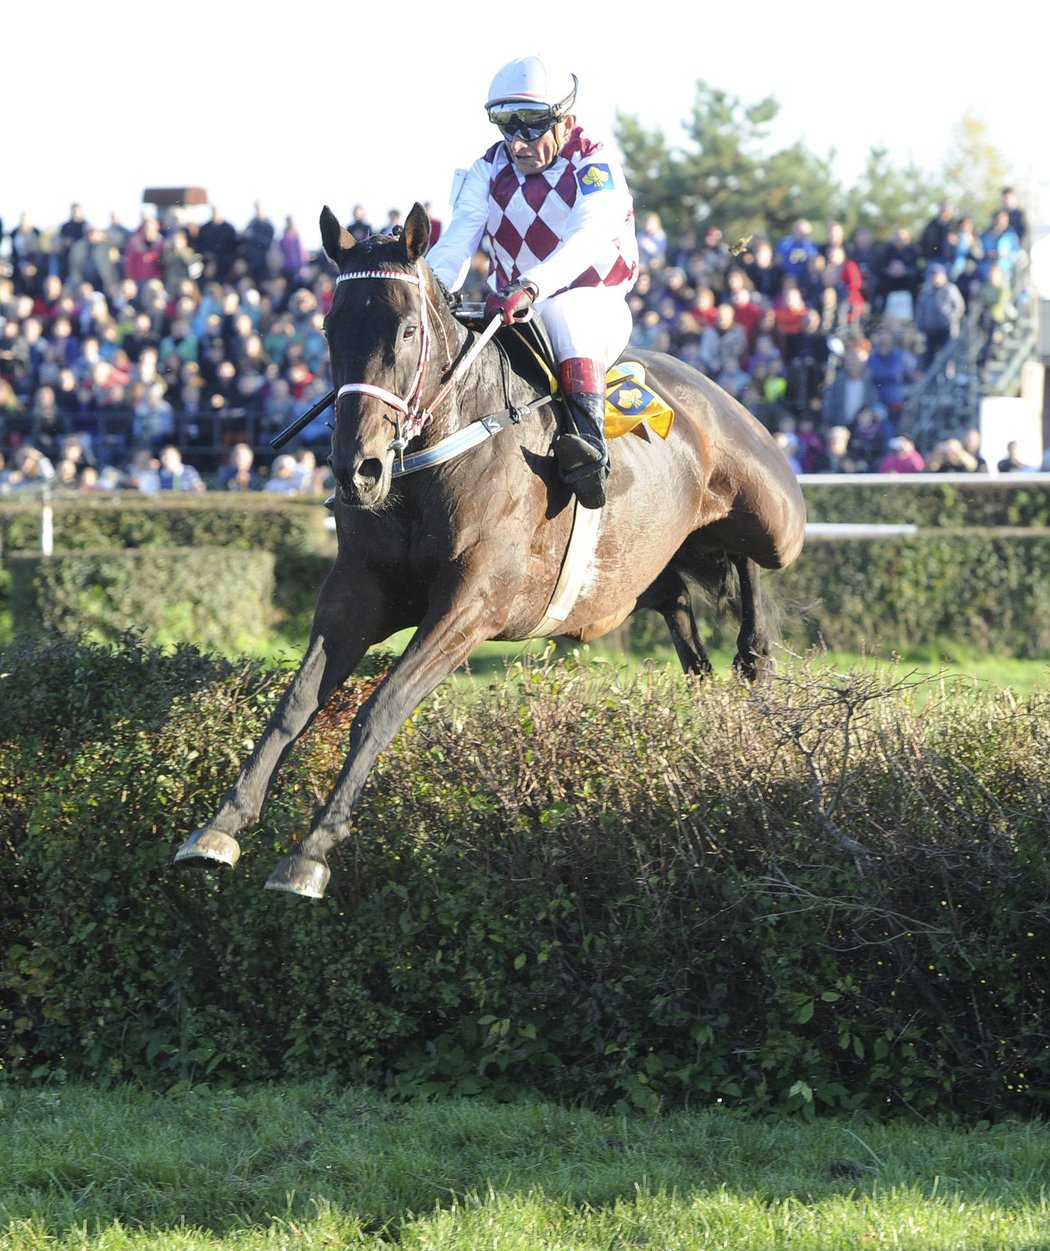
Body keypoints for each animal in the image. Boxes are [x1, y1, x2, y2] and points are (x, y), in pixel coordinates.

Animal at [176, 200, 810, 895]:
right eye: (329, 327)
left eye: (406, 331)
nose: (356, 470)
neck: (430, 463)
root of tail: (712, 391)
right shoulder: (359, 590)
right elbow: (294, 705)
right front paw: (219, 827)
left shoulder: (471, 603)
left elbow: (380, 708)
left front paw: (311, 851)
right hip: (632, 576)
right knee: (677, 603)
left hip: (775, 514)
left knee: (752, 557)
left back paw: (754, 654)